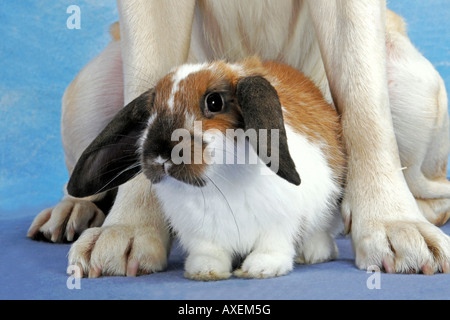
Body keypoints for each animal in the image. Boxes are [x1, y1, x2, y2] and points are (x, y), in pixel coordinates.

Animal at [67, 57, 348, 280]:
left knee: (321, 232)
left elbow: (273, 246)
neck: (218, 186)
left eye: (214, 102)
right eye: (152, 107)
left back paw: (314, 253)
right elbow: (209, 251)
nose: (161, 152)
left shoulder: (281, 222)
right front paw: (205, 271)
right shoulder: (201, 234)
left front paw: (260, 268)